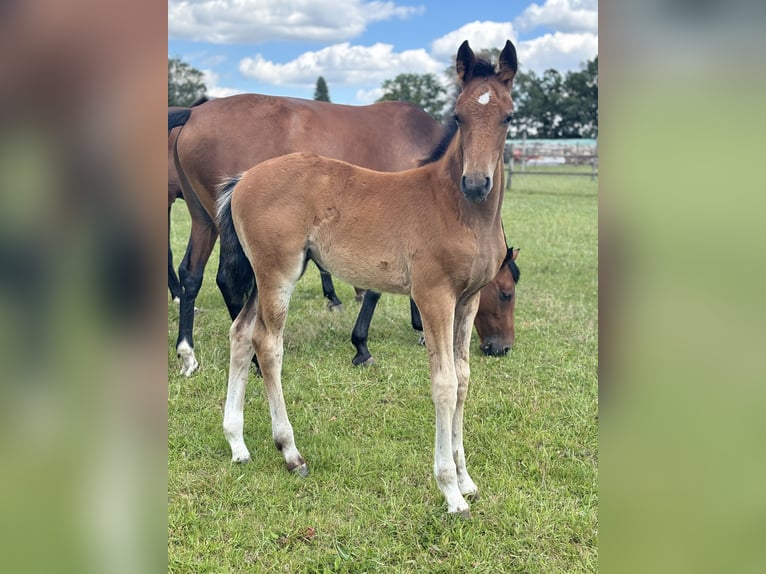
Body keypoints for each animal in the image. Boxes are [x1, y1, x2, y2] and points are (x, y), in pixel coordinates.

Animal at [213, 40, 520, 516]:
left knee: (241, 334)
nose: (476, 183)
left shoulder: (467, 300)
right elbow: (445, 383)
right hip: (278, 273)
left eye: (507, 116)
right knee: (268, 343)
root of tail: (244, 177)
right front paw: (450, 491)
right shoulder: (434, 296)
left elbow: (465, 378)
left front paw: (467, 480)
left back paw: (238, 444)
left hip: (266, 276)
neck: (460, 210)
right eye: (458, 116)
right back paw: (290, 451)